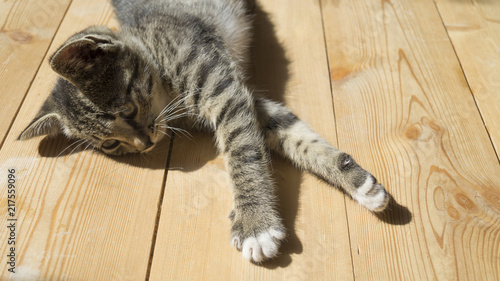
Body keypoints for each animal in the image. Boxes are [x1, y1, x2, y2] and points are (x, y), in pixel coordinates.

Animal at [18, 0, 390, 262]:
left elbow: (242, 153)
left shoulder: (225, 91)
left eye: (126, 110)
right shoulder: (246, 101)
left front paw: (255, 223)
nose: (143, 144)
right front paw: (355, 180)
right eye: (110, 145)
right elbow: (295, 134)